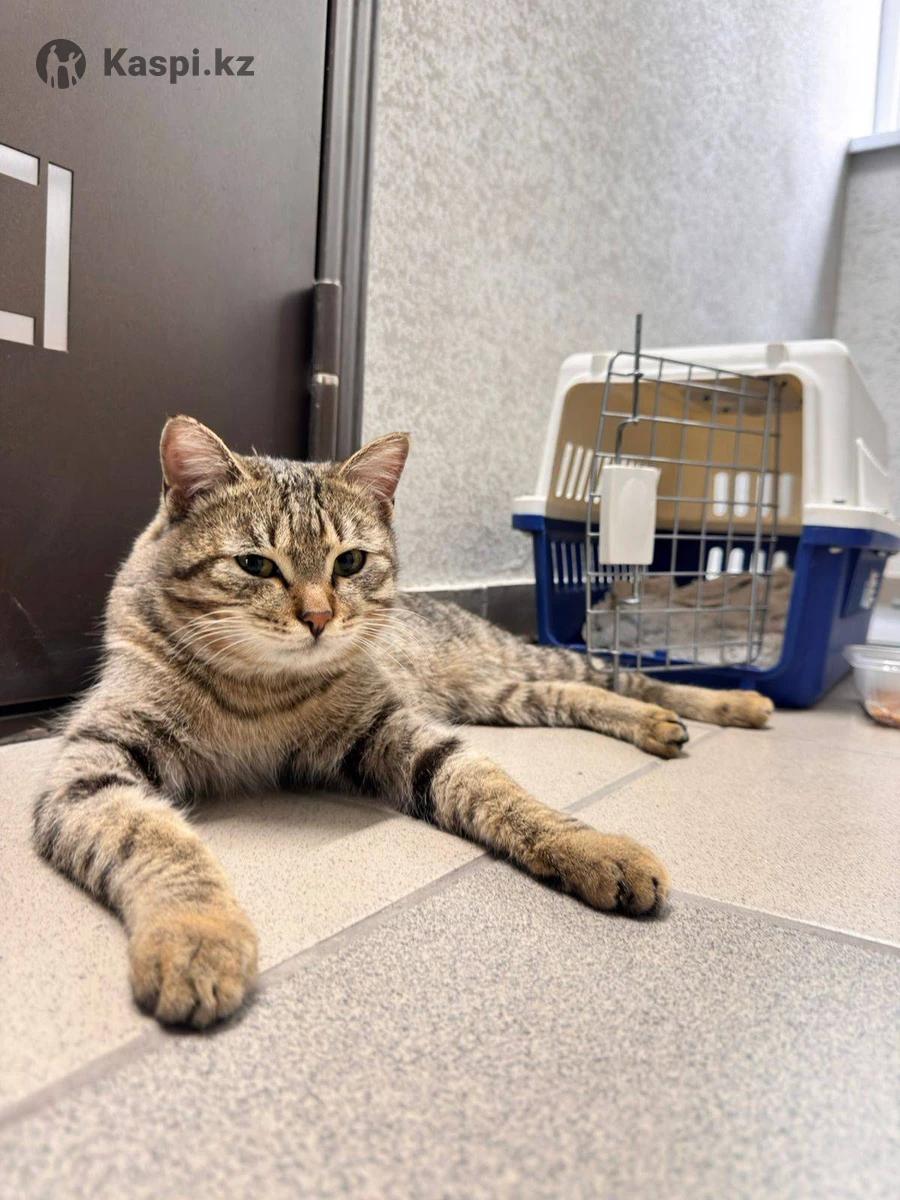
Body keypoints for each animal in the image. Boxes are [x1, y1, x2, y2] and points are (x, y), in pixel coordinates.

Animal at [34, 417, 773, 1027]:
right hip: (504, 694)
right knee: (575, 692)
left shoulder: (393, 728)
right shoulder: (92, 762)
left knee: (619, 673)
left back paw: (727, 703)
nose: (318, 617)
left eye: (351, 561)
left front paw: (590, 846)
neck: (258, 690)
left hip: (512, 667)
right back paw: (661, 722)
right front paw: (196, 934)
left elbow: (500, 791)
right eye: (255, 564)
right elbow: (159, 841)